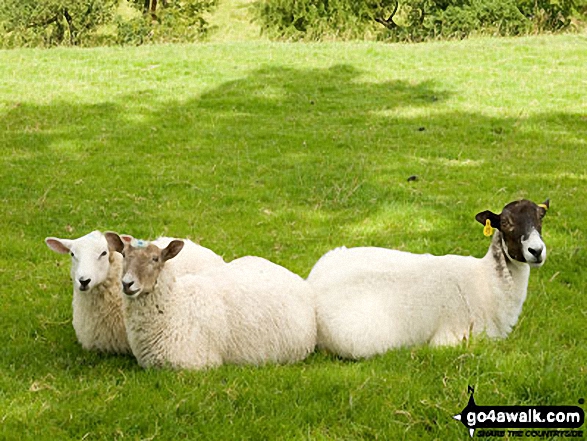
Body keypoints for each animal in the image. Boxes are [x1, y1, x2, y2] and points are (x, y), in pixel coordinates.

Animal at [308, 199, 552, 358]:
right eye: (507, 223)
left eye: (540, 218)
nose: (537, 251)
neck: (486, 281)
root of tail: (313, 283)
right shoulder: (454, 339)